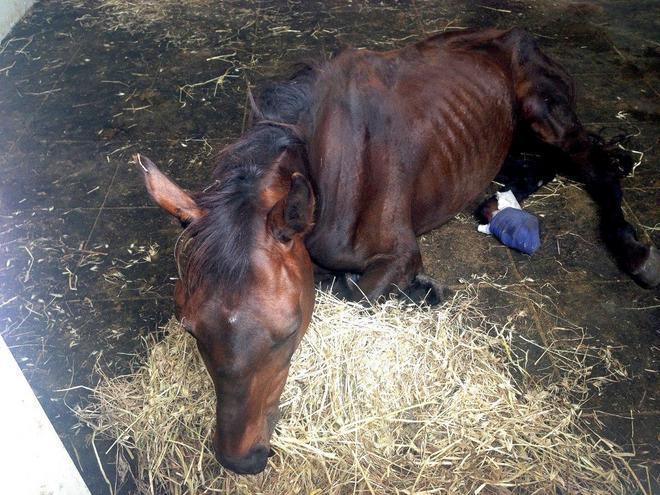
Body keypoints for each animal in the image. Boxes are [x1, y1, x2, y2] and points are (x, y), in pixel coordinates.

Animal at [138, 28, 659, 475]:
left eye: (288, 333)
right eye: (190, 328)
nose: (240, 460)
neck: (328, 165)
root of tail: (519, 36)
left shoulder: (399, 253)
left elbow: (357, 294)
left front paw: (421, 290)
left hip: (544, 113)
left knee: (595, 162)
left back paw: (636, 253)